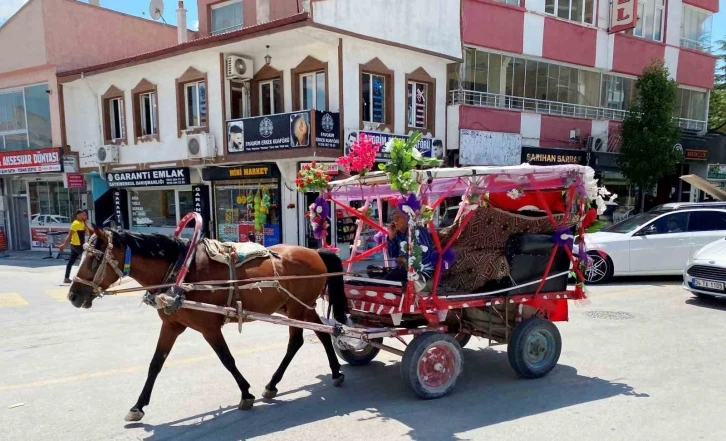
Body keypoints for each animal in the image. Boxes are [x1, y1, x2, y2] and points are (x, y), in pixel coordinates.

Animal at [67, 229, 350, 422]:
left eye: (93, 259)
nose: (73, 296)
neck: (181, 271)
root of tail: (315, 251)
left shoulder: (209, 328)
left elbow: (227, 359)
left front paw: (245, 394)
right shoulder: (171, 325)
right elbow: (155, 364)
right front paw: (138, 406)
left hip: (298, 307)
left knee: (299, 340)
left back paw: (285, 381)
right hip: (298, 307)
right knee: (320, 336)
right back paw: (326, 374)